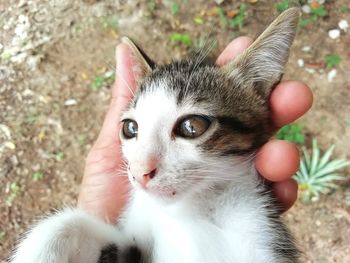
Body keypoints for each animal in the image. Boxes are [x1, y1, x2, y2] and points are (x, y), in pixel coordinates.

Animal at [10, 8, 300, 263]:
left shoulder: (262, 233)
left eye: (192, 126)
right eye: (130, 128)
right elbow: (67, 222)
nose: (140, 172)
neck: (188, 209)